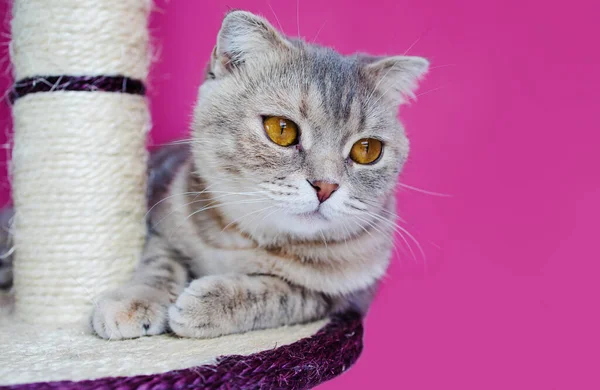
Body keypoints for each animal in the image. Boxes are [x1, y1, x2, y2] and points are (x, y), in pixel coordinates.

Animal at [0, 9, 428, 338]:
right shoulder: (160, 221)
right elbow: (159, 264)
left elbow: (279, 294)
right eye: (282, 130)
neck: (246, 241)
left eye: (366, 150)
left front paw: (208, 304)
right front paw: (134, 301)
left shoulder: (340, 299)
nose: (325, 186)